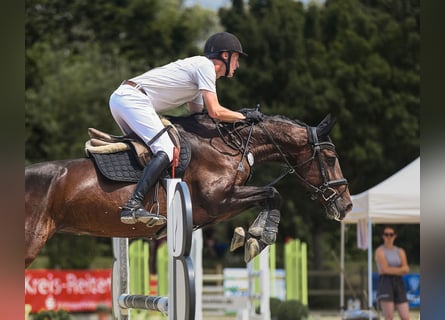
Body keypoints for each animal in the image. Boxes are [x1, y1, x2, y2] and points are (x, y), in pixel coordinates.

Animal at [24, 112, 352, 268]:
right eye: (331, 158)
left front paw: (249, 237)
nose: (346, 205)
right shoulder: (219, 201)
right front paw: (259, 237)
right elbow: (274, 194)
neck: (228, 147)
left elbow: (269, 197)